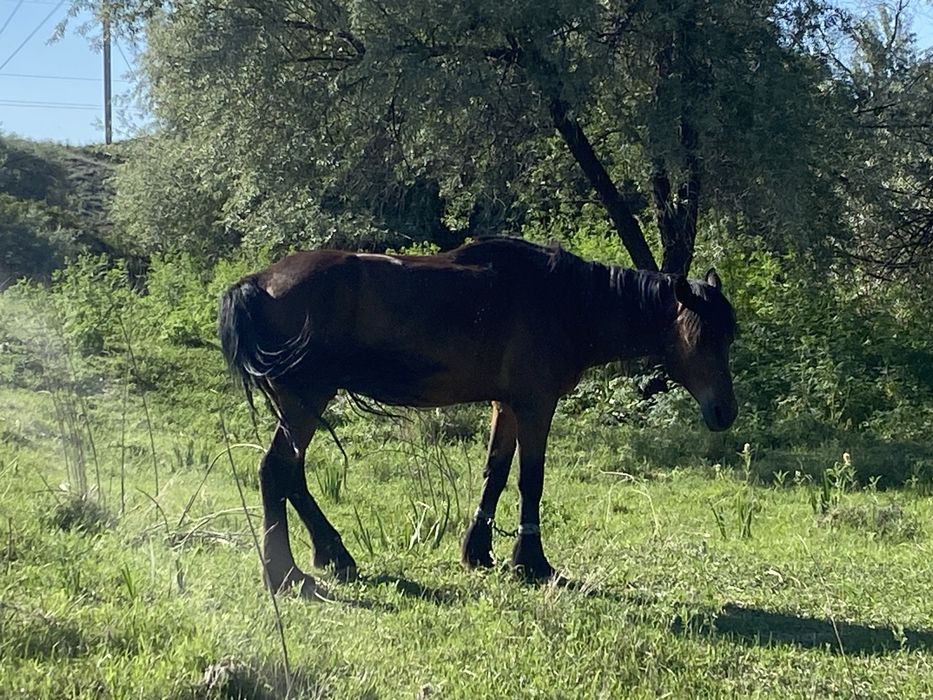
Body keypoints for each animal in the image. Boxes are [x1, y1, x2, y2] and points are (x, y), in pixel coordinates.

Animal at [218, 236, 738, 596]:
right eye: (704, 335)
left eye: (728, 334)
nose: (725, 412)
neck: (566, 300)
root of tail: (257, 282)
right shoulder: (535, 404)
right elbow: (531, 480)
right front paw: (531, 561)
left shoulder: (505, 405)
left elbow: (496, 472)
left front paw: (478, 548)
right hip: (305, 401)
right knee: (275, 471)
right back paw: (284, 574)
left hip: (301, 405)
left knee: (291, 475)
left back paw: (331, 554)